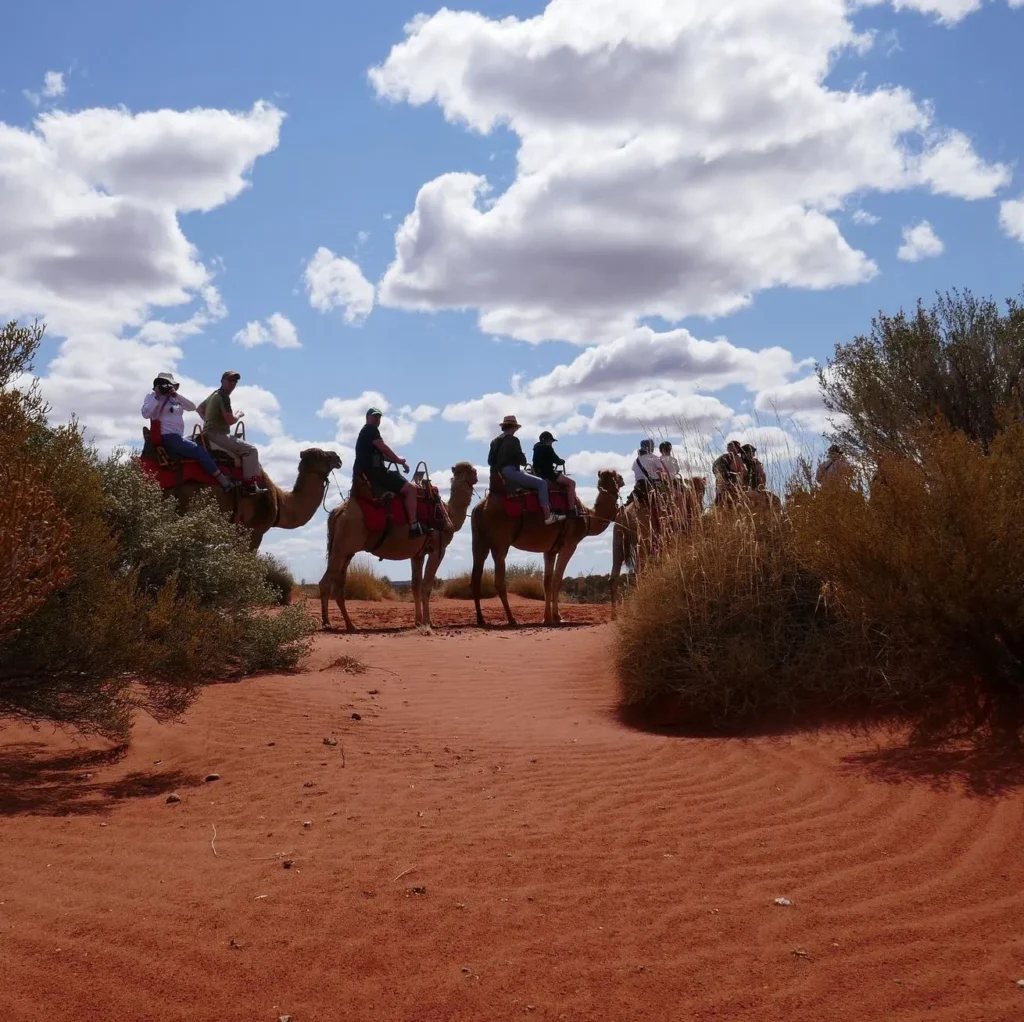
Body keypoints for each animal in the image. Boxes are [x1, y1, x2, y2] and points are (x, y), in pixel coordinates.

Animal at [319, 464, 479, 630]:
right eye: (474, 472)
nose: (477, 477)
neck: (448, 513)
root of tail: (337, 512)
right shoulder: (437, 549)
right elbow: (426, 586)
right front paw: (428, 622)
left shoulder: (418, 554)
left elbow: (415, 585)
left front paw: (418, 621)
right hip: (342, 546)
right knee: (326, 582)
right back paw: (327, 623)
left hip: (346, 551)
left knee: (339, 583)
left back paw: (350, 624)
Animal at [468, 469, 622, 626]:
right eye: (618, 476)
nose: (622, 480)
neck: (587, 517)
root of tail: (479, 507)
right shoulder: (569, 545)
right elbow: (557, 581)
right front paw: (557, 617)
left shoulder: (550, 550)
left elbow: (547, 582)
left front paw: (547, 617)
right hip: (500, 544)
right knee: (499, 580)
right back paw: (511, 619)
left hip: (478, 542)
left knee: (476, 578)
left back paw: (481, 619)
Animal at [610, 477, 708, 618]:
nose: (699, 498)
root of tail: (625, 516)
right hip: (643, 538)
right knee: (640, 571)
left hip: (618, 539)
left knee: (614, 574)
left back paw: (614, 614)